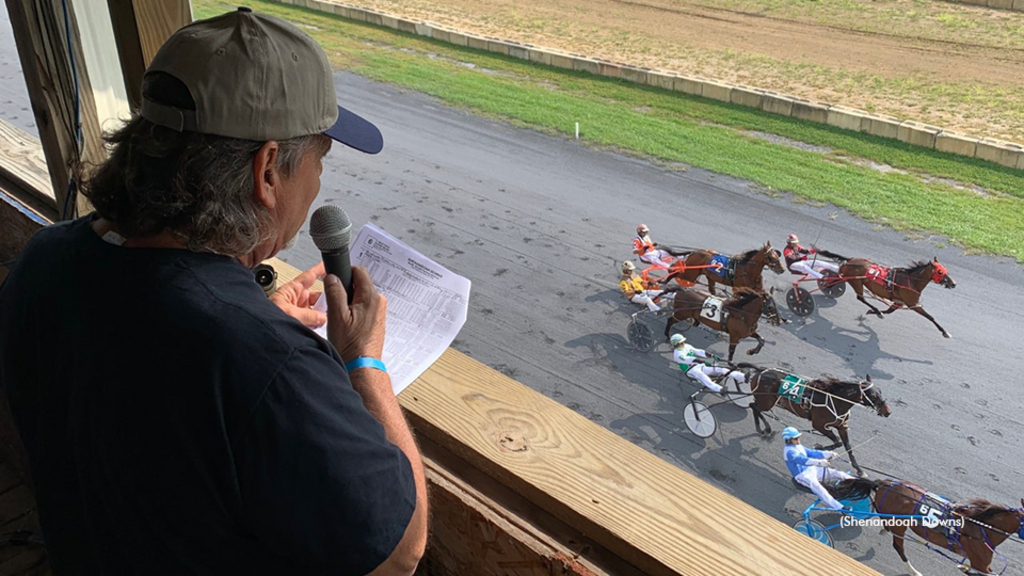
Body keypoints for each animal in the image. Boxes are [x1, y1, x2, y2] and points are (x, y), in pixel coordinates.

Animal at [737, 364, 888, 477]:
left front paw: (860, 470)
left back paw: (763, 428)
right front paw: (819, 447)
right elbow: (837, 442)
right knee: (753, 406)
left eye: (881, 391)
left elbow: (848, 448)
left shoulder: (842, 426)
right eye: (874, 395)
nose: (888, 411)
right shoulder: (819, 425)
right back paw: (765, 428)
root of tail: (762, 370)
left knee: (754, 406)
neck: (836, 400)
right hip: (766, 402)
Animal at [835, 477, 1019, 573]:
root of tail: (883, 483)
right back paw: (913, 571)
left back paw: (884, 529)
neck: (981, 527)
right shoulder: (980, 564)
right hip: (900, 524)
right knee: (898, 546)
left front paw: (962, 566)